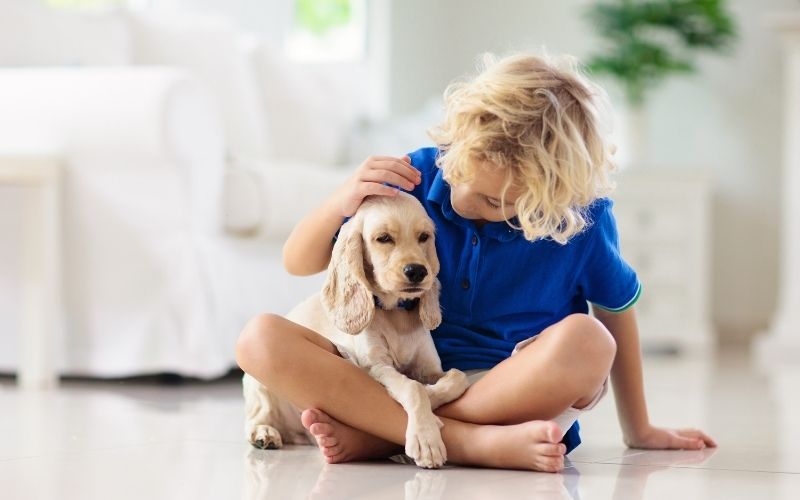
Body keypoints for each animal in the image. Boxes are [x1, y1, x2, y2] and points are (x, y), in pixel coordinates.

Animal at [244, 191, 468, 468]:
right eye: (383, 238)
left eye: (424, 237)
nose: (417, 271)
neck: (394, 314)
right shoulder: (375, 365)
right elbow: (413, 388)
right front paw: (427, 439)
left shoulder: (429, 368)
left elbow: (458, 378)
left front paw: (433, 401)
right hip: (258, 385)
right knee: (254, 418)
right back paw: (264, 434)